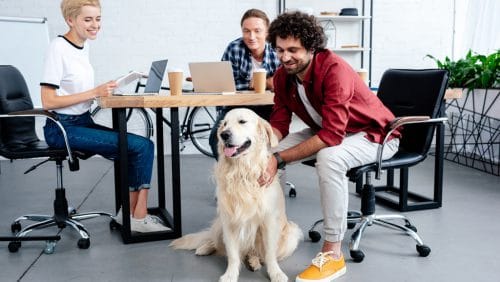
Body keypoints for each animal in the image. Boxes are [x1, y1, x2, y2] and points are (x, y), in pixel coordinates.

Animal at [173, 108, 300, 282]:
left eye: (242, 121)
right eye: (225, 123)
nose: (224, 135)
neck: (241, 171)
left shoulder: (268, 221)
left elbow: (269, 253)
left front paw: (275, 273)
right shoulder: (229, 221)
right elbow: (232, 254)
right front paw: (230, 275)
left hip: (292, 234)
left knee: (256, 252)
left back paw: (254, 261)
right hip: (219, 224)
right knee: (214, 240)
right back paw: (205, 248)